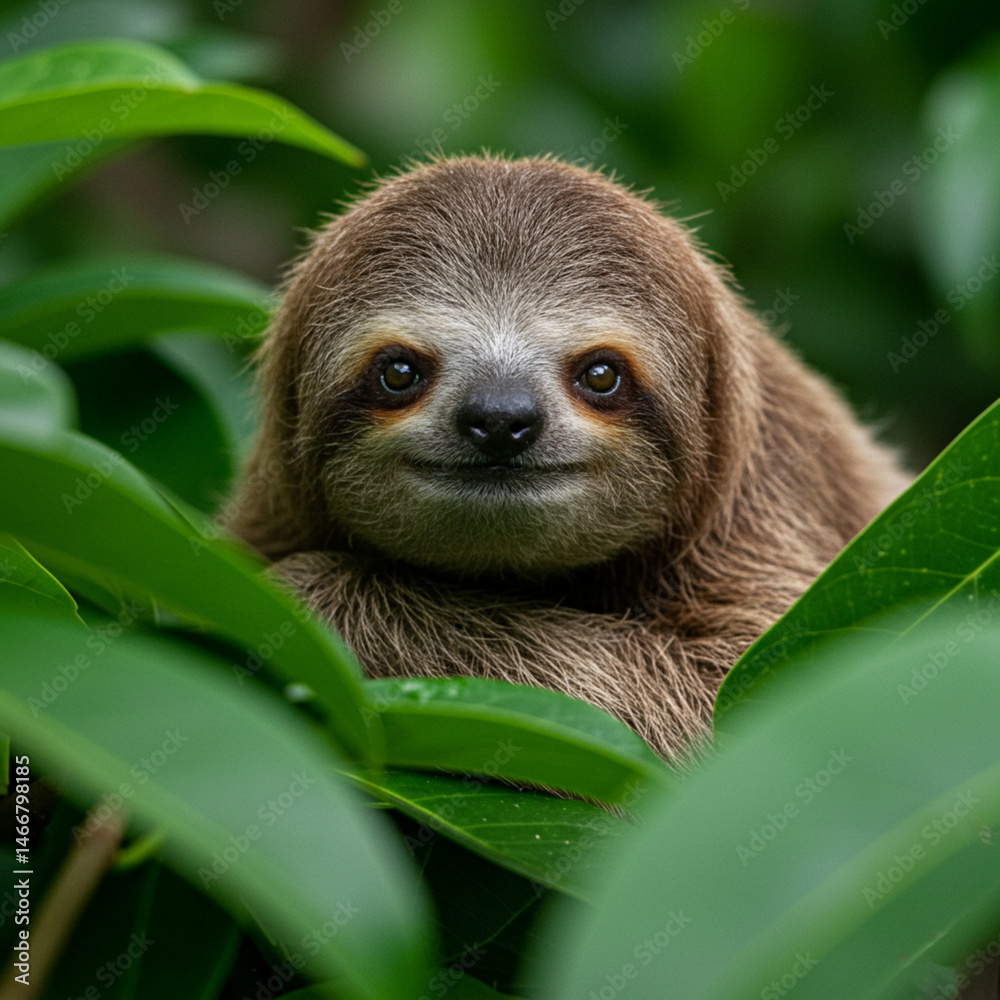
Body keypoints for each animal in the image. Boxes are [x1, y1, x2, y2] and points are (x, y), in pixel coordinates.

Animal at [224, 154, 907, 762]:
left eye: (601, 374)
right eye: (399, 372)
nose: (501, 417)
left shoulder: (766, 525)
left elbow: (736, 704)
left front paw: (309, 591)